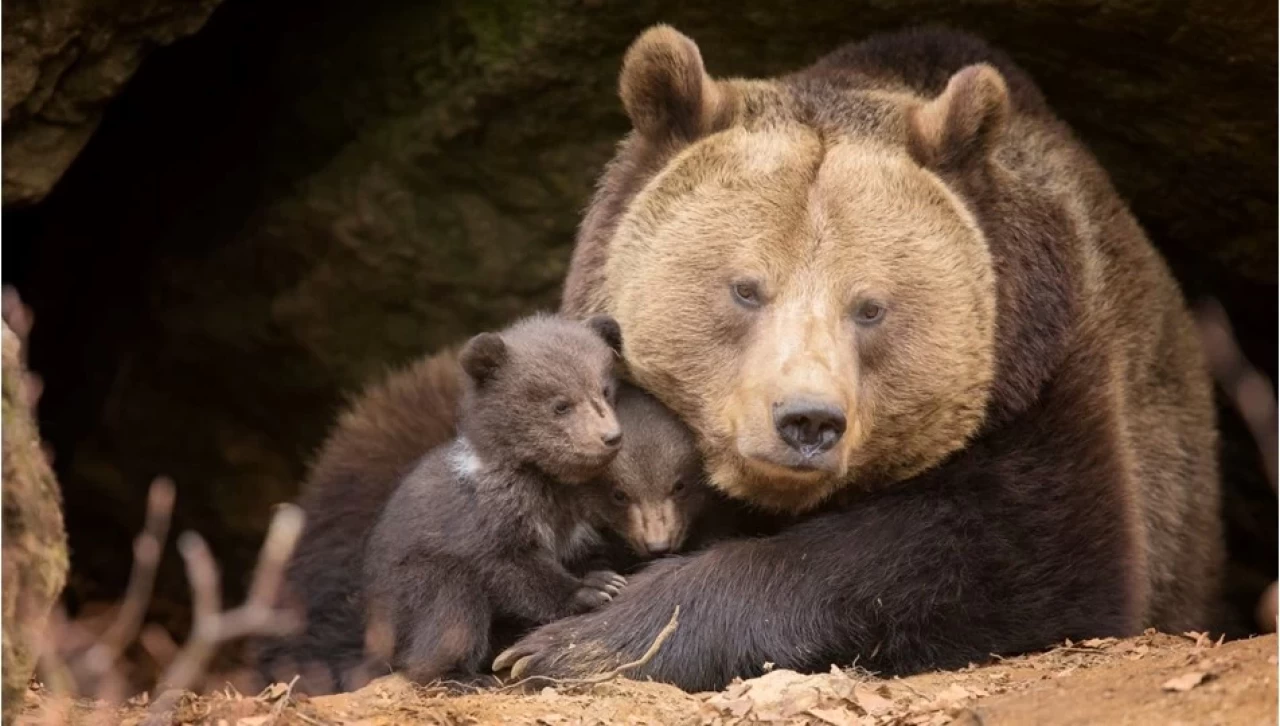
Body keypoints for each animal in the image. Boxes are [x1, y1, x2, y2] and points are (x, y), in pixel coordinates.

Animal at [267, 22, 1218, 691]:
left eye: (871, 306)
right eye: (745, 288)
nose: (807, 421)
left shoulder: (1043, 376)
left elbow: (1013, 550)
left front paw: (580, 643)